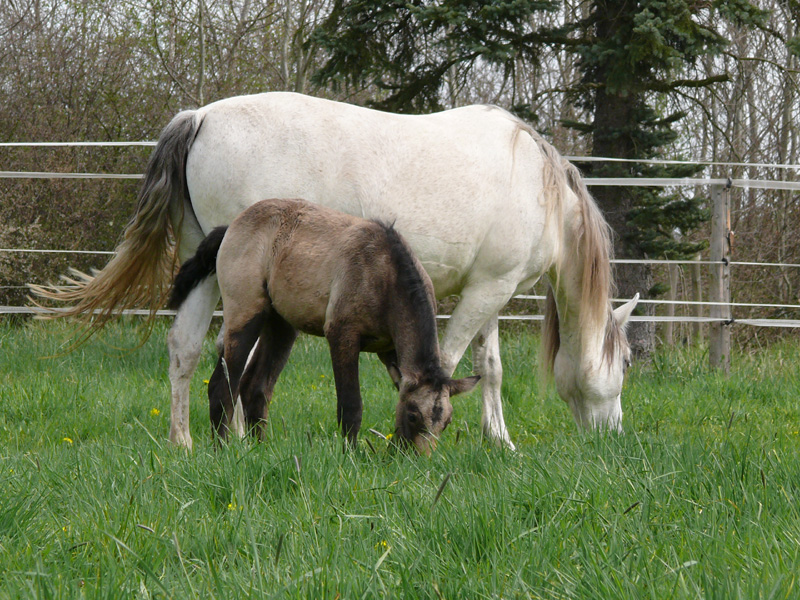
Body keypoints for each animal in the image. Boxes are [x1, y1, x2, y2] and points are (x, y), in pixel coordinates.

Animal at [169, 199, 478, 452]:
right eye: (414, 415)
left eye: (447, 422)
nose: (417, 458)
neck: (386, 276)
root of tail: (231, 227)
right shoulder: (342, 335)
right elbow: (351, 405)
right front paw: (350, 456)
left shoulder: (390, 350)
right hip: (245, 315)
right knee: (222, 387)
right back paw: (221, 450)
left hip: (281, 325)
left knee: (256, 388)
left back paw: (260, 450)